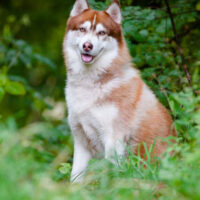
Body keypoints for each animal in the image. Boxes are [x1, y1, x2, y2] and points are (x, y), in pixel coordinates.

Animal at [63, 0, 175, 182]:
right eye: (82, 29)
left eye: (102, 32)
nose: (88, 45)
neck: (90, 84)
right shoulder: (80, 141)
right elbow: (75, 177)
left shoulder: (113, 140)